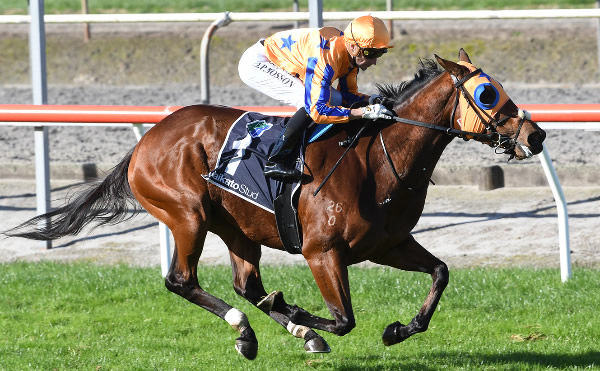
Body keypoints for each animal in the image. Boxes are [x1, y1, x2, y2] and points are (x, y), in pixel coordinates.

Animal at [5, 49, 548, 360]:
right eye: (487, 92)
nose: (536, 135)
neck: (379, 160)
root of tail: (147, 140)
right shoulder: (321, 252)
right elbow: (344, 319)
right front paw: (303, 316)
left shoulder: (387, 244)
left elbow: (440, 272)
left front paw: (399, 329)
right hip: (187, 216)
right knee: (181, 281)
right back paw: (250, 328)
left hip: (238, 229)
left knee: (246, 284)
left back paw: (270, 328)